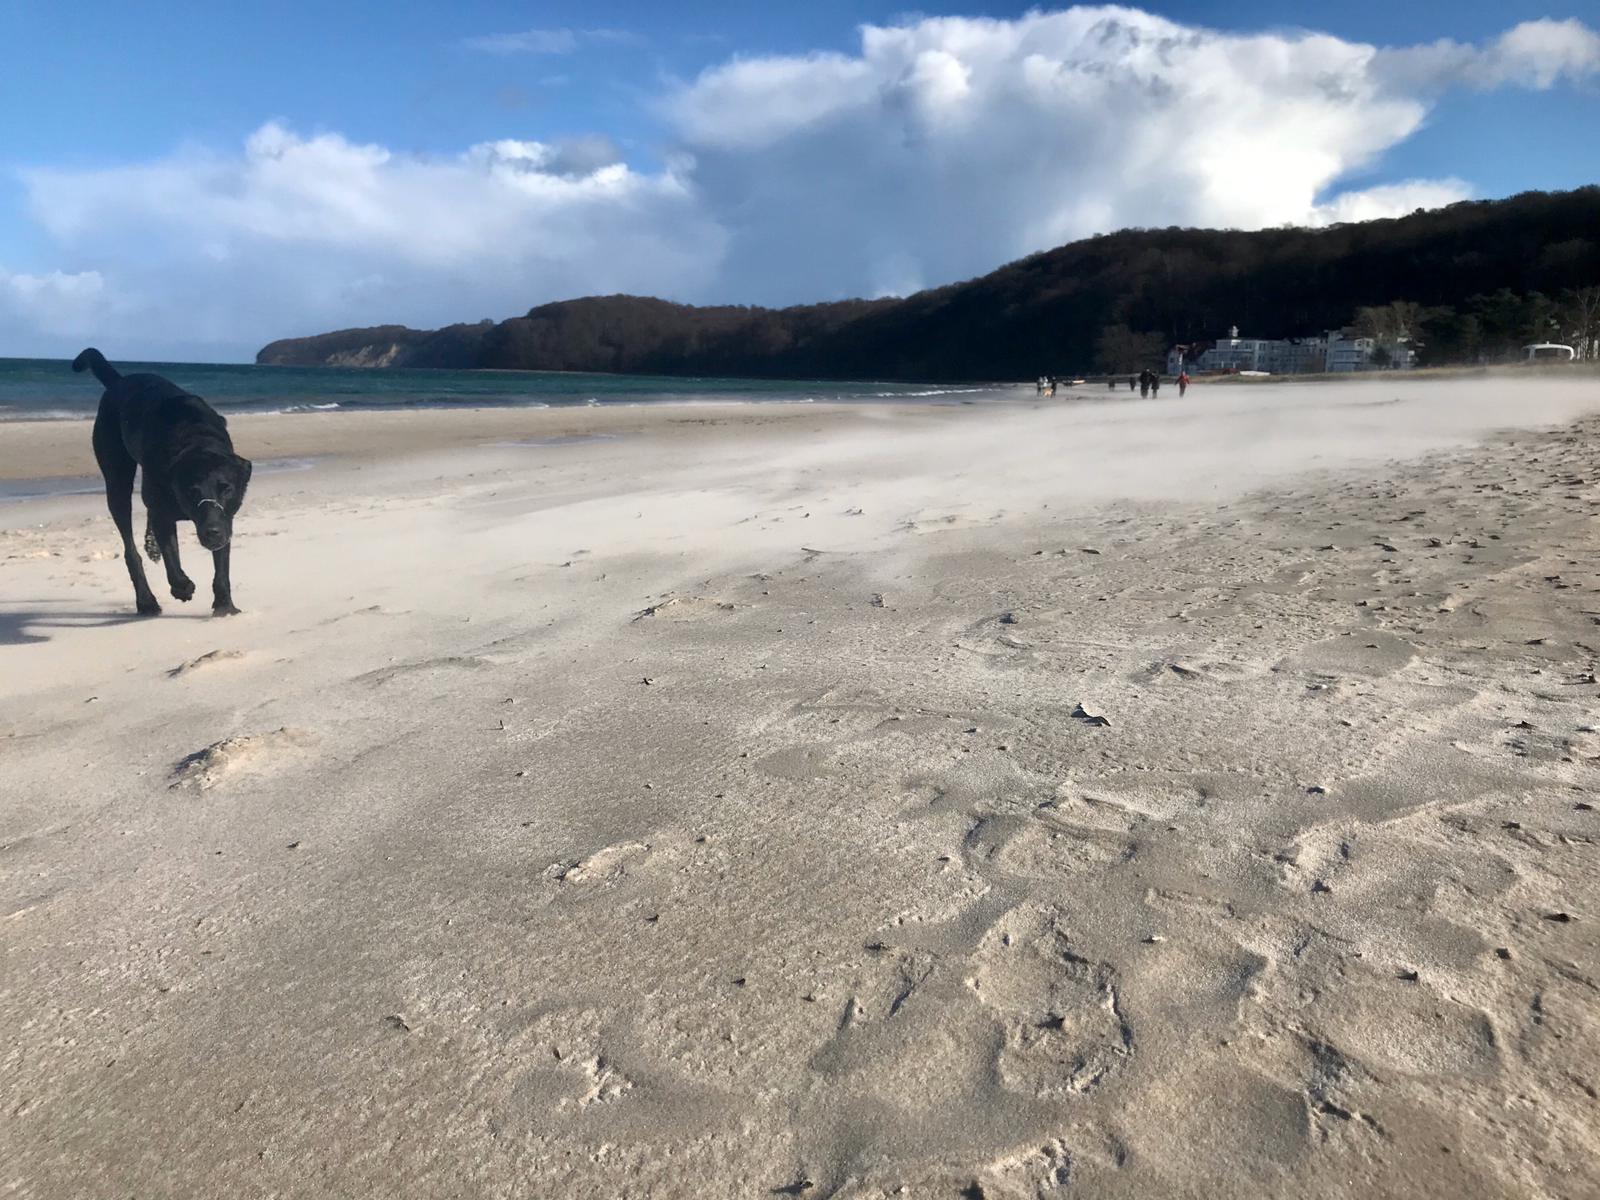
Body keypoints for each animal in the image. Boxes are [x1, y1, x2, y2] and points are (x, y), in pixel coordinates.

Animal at [76, 345, 251, 611]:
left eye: (226, 488)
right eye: (192, 491)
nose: (212, 532)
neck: (196, 437)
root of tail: (119, 382)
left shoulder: (225, 517)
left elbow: (222, 563)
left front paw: (224, 605)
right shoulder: (163, 511)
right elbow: (171, 554)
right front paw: (182, 587)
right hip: (116, 476)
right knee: (130, 548)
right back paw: (146, 601)